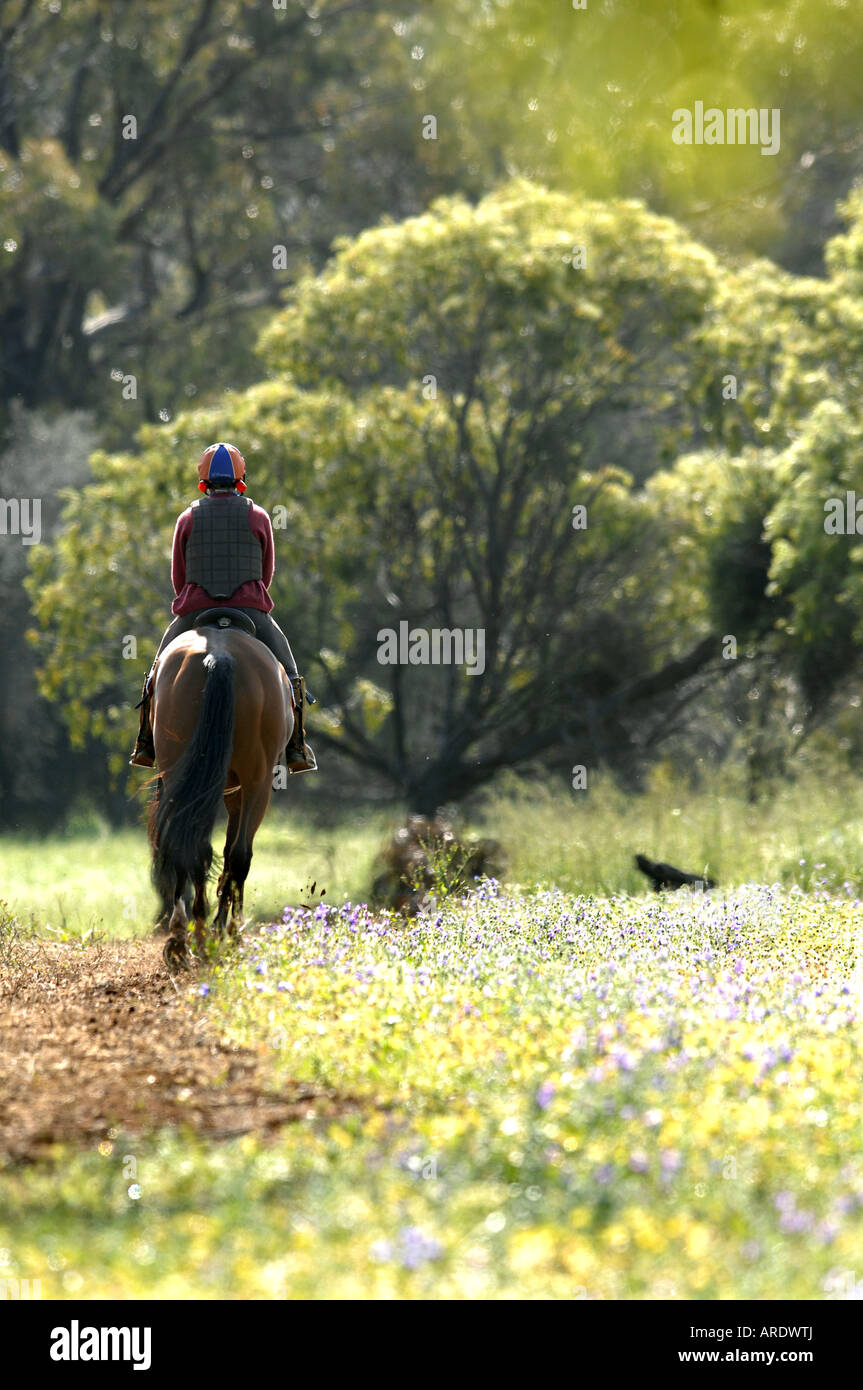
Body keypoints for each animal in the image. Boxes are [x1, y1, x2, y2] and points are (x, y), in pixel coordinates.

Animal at [148, 619, 293, 967]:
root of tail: (219, 655)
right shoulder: (238, 791)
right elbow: (230, 854)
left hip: (190, 775)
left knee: (196, 848)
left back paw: (192, 937)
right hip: (256, 783)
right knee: (237, 855)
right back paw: (222, 935)